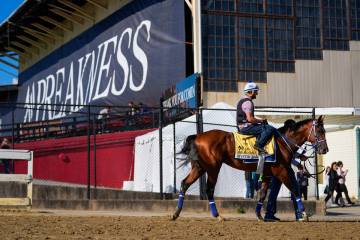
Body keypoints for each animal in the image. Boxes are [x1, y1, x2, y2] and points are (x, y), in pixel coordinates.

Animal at [172, 115, 330, 222]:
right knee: (209, 189)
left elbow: (262, 194)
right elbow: (295, 189)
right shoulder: (282, 171)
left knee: (184, 184)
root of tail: (198, 136)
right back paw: (217, 215)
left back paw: (176, 213)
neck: (282, 142)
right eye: (320, 130)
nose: (325, 149)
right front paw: (303, 214)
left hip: (199, 167)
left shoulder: (267, 174)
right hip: (212, 168)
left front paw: (259, 215)